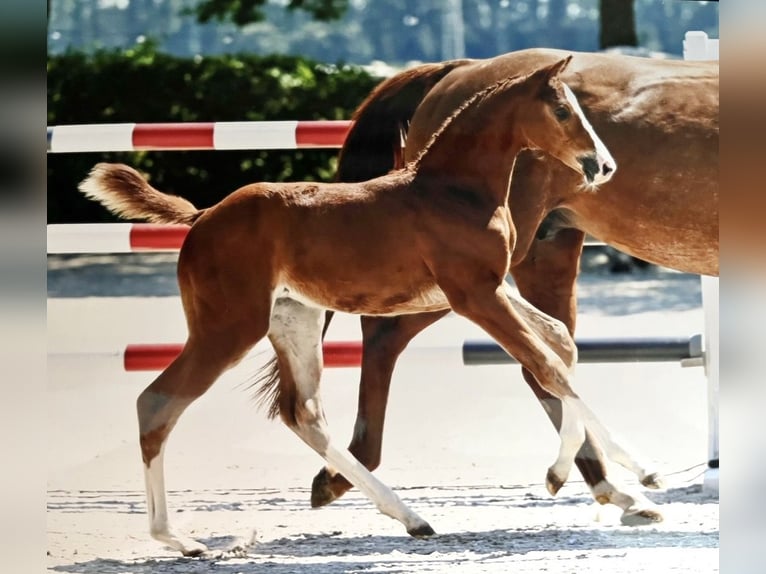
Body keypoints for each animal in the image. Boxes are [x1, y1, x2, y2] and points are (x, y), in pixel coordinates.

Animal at [78, 57, 619, 556]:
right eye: (562, 110)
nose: (604, 165)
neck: (452, 189)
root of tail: (202, 216)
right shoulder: (474, 295)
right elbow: (549, 367)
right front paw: (629, 475)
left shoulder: (488, 289)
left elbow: (559, 344)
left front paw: (580, 474)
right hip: (229, 326)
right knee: (157, 402)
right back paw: (177, 538)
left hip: (293, 318)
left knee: (303, 413)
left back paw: (410, 517)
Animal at [310, 48, 719, 526]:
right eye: (561, 112)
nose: (604, 165)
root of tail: (458, 70)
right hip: (468, 279)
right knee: (389, 335)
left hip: (542, 253)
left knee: (547, 360)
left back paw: (614, 489)